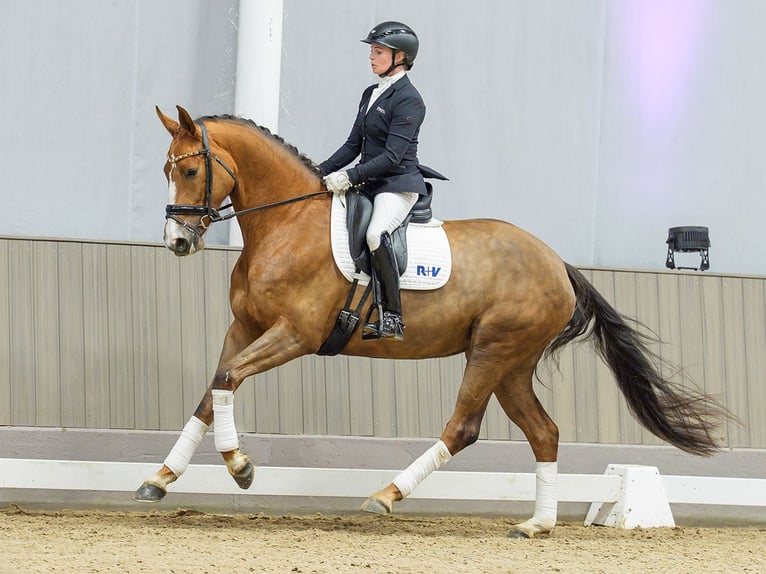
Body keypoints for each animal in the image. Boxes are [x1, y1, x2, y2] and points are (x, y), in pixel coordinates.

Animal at [134, 105, 729, 538]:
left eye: (190, 170)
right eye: (166, 169)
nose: (177, 242)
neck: (286, 222)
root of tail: (557, 263)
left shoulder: (295, 335)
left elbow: (227, 379)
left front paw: (240, 467)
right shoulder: (245, 329)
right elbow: (212, 390)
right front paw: (159, 479)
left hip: (493, 351)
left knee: (463, 426)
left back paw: (385, 496)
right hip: (511, 364)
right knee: (544, 431)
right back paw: (537, 524)